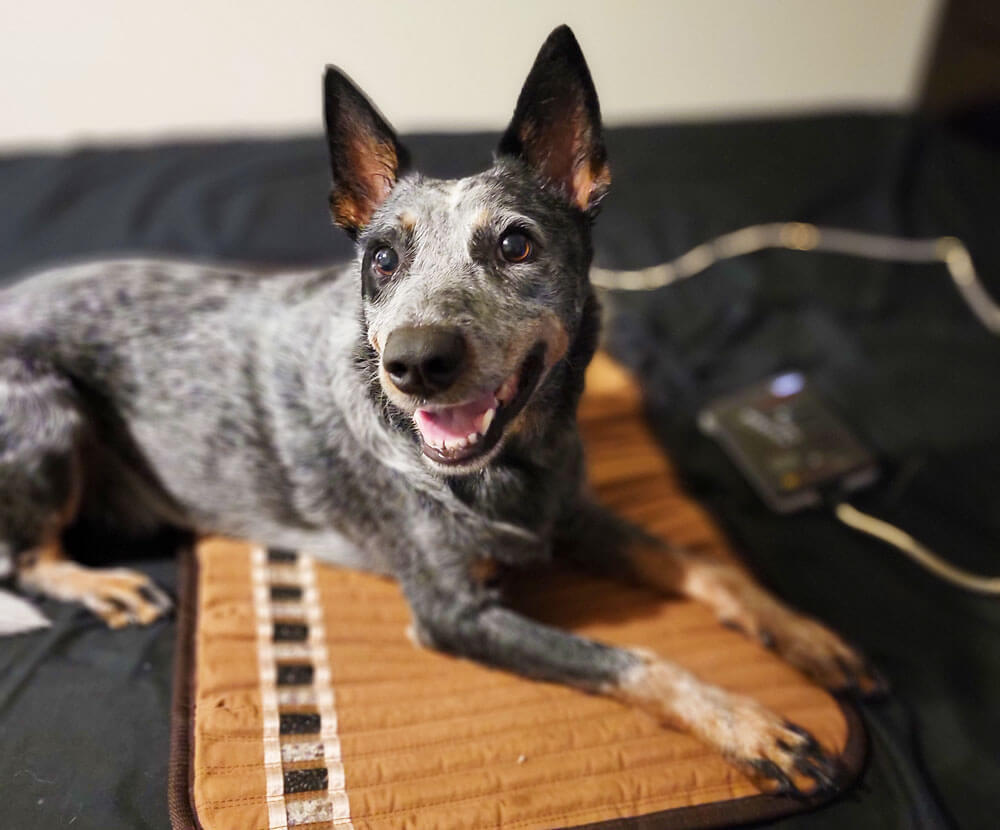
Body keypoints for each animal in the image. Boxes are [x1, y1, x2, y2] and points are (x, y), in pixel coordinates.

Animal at [0, 24, 876, 792]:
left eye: (516, 244)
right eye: (383, 260)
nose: (415, 362)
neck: (516, 469)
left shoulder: (572, 513)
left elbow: (707, 564)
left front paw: (805, 636)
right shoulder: (454, 612)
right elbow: (636, 660)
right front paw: (748, 725)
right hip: (50, 410)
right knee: (26, 559)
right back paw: (102, 585)